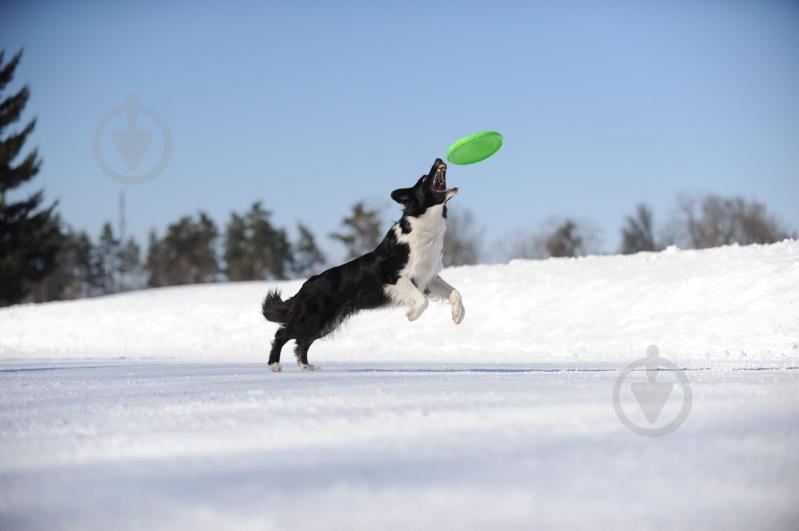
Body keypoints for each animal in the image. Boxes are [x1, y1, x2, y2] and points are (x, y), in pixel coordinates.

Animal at [260, 160, 462, 372]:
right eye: (424, 179)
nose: (439, 159)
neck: (425, 225)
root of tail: (306, 285)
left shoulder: (429, 277)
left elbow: (455, 293)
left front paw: (458, 316)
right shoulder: (393, 276)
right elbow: (422, 301)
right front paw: (411, 314)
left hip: (326, 321)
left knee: (302, 340)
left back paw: (305, 366)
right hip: (313, 316)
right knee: (283, 334)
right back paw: (274, 364)